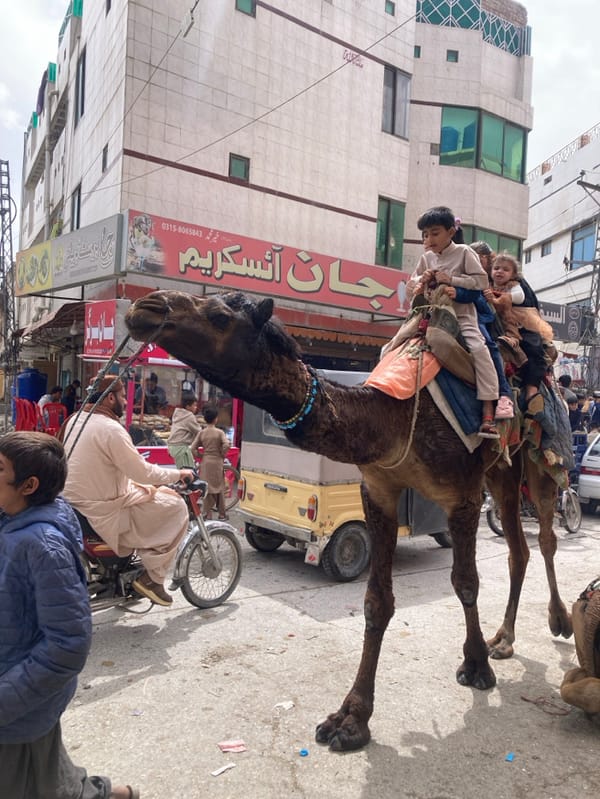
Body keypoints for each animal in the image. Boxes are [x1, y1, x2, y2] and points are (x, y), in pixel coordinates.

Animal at [125, 289, 573, 751]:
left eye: (218, 315)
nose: (148, 306)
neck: (395, 418)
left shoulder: (462, 494)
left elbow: (466, 583)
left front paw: (477, 666)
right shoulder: (378, 492)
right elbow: (376, 602)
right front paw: (351, 718)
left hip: (536, 459)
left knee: (544, 535)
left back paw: (557, 622)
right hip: (501, 470)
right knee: (518, 549)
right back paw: (504, 638)